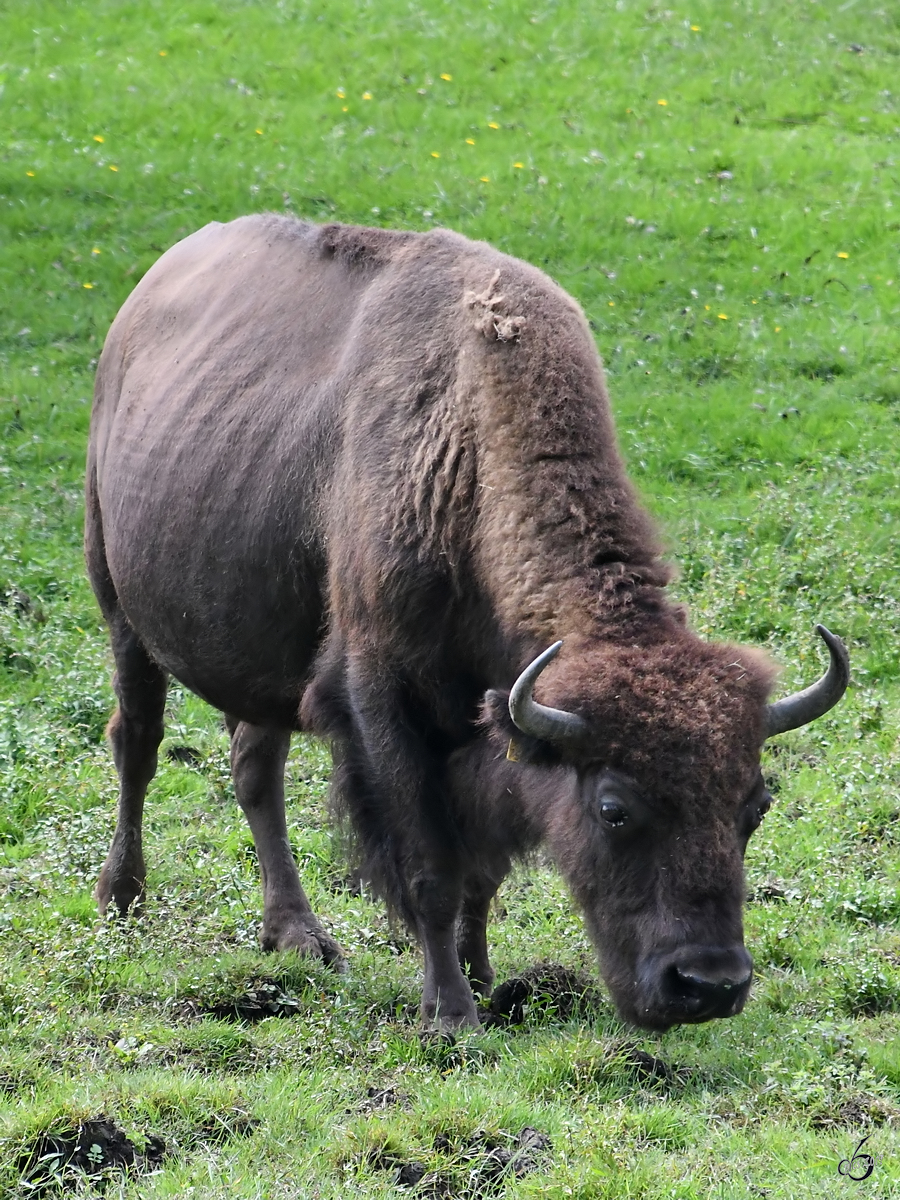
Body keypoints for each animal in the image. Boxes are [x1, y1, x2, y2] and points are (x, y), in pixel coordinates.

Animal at [82, 216, 844, 1032]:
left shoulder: (490, 736)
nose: (708, 984)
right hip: (119, 605)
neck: (467, 449)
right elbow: (433, 871)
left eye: (756, 805)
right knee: (138, 742)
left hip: (259, 657)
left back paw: (298, 935)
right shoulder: (383, 704)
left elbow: (482, 875)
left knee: (256, 769)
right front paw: (450, 1015)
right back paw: (122, 899)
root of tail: (144, 296)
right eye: (613, 810)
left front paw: (483, 981)